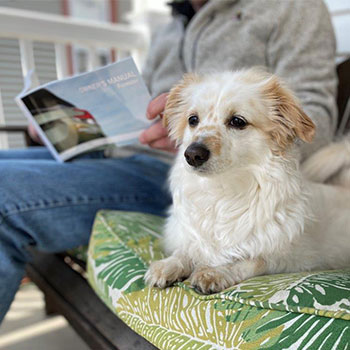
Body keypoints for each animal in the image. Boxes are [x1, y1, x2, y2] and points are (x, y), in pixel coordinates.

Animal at [144, 69, 350, 294]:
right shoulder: (193, 236)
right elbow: (187, 250)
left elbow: (249, 261)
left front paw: (214, 273)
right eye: (193, 120)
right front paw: (168, 265)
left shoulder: (289, 258)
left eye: (237, 121)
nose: (192, 154)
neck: (222, 189)